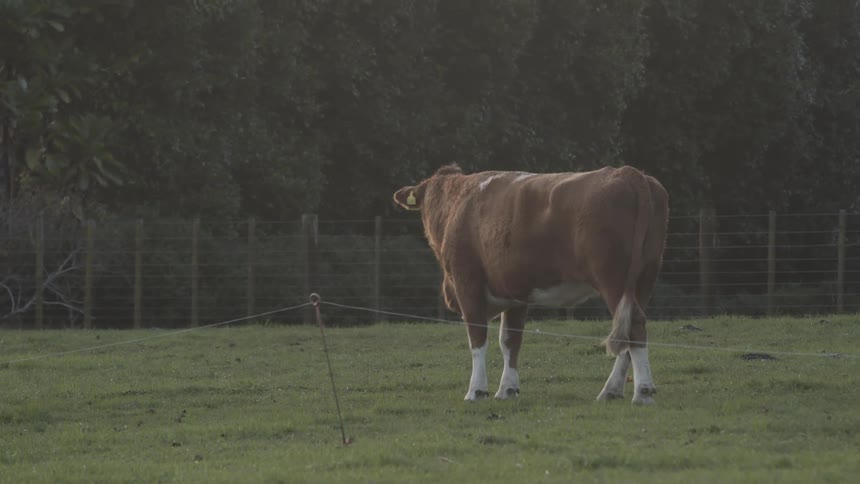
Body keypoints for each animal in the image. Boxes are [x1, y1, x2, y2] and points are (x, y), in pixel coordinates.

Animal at [393, 164, 669, 404]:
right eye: (428, 203)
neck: (457, 205)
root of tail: (629, 173)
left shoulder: (467, 283)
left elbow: (478, 337)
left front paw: (476, 390)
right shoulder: (516, 293)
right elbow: (510, 341)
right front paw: (507, 389)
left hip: (613, 279)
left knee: (634, 325)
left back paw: (642, 392)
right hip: (644, 279)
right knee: (628, 331)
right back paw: (611, 390)